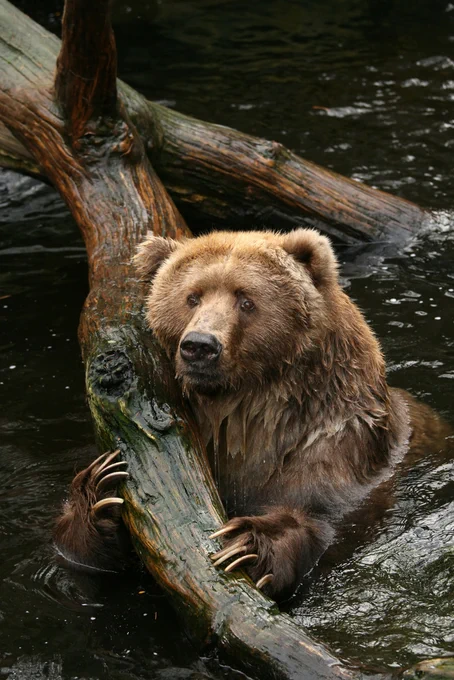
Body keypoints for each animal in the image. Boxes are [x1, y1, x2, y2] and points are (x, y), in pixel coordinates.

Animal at [55, 228, 417, 599]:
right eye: (192, 296)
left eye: (246, 300)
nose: (200, 345)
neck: (243, 412)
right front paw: (101, 489)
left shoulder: (334, 442)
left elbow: (318, 514)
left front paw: (248, 546)